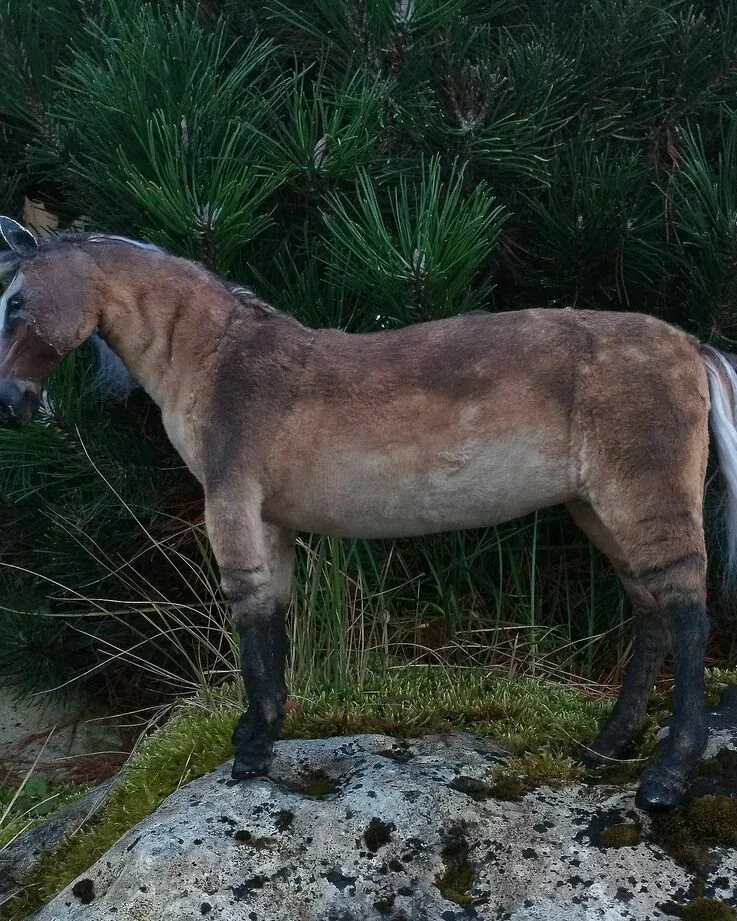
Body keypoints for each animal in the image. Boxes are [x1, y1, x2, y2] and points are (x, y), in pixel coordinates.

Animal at [1, 215, 735, 811]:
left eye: (14, 304)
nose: (11, 402)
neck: (219, 359)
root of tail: (689, 346)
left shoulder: (231, 508)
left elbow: (251, 620)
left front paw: (249, 754)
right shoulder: (271, 521)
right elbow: (274, 618)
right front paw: (263, 735)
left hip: (644, 501)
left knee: (687, 612)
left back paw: (666, 777)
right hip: (597, 510)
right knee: (650, 612)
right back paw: (605, 747)